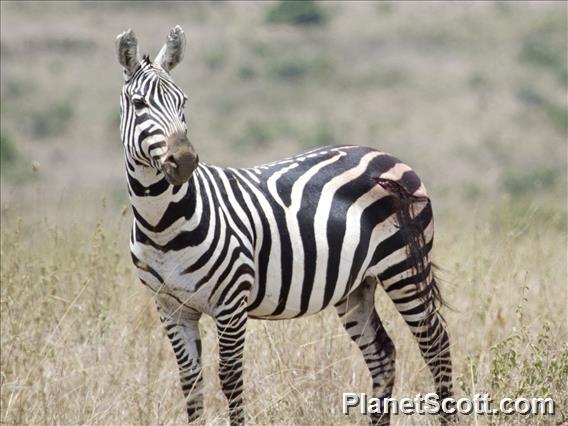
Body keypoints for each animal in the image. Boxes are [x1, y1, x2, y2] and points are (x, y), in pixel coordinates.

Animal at [114, 25, 452, 422]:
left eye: (183, 101)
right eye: (139, 104)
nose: (184, 161)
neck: (162, 224)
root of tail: (386, 154)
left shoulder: (232, 303)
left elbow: (230, 378)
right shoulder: (170, 308)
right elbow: (191, 383)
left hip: (405, 267)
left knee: (436, 344)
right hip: (358, 285)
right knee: (383, 354)